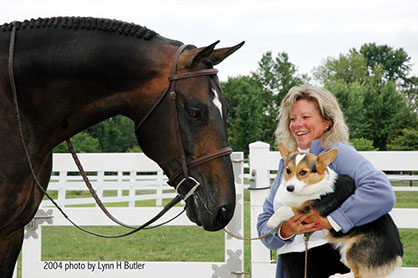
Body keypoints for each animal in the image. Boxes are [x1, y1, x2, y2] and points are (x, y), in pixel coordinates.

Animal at [266, 143, 404, 278]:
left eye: (303, 172)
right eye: (288, 170)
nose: (289, 188)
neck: (312, 185)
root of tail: (397, 253)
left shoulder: (308, 210)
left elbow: (285, 209)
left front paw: (271, 222)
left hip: (353, 251)